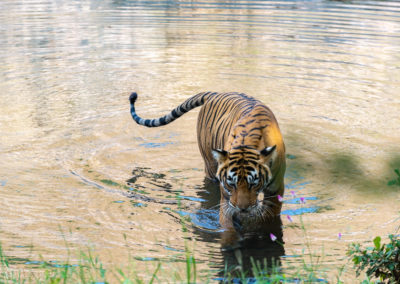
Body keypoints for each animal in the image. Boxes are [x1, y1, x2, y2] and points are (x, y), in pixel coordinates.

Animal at [130, 92, 286, 247]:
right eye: (231, 183)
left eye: (253, 183)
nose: (242, 209)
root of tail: (216, 93)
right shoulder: (227, 197)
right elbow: (228, 223)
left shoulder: (275, 189)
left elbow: (268, 216)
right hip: (210, 167)